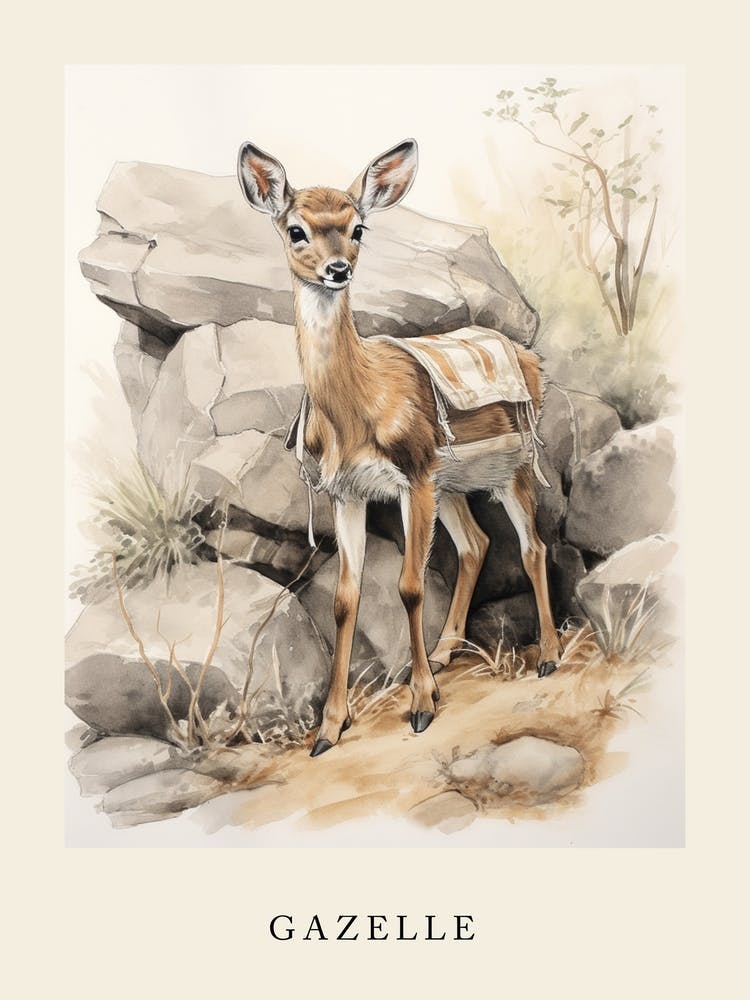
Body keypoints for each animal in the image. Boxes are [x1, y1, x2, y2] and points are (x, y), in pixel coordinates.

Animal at [237, 138, 561, 757]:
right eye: (296, 229)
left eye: (358, 227)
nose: (338, 268)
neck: (359, 408)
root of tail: (530, 359)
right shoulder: (348, 492)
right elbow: (345, 598)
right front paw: (329, 729)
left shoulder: (413, 474)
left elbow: (410, 586)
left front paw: (421, 706)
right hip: (452, 482)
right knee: (477, 543)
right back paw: (445, 649)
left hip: (510, 467)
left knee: (531, 546)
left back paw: (550, 657)